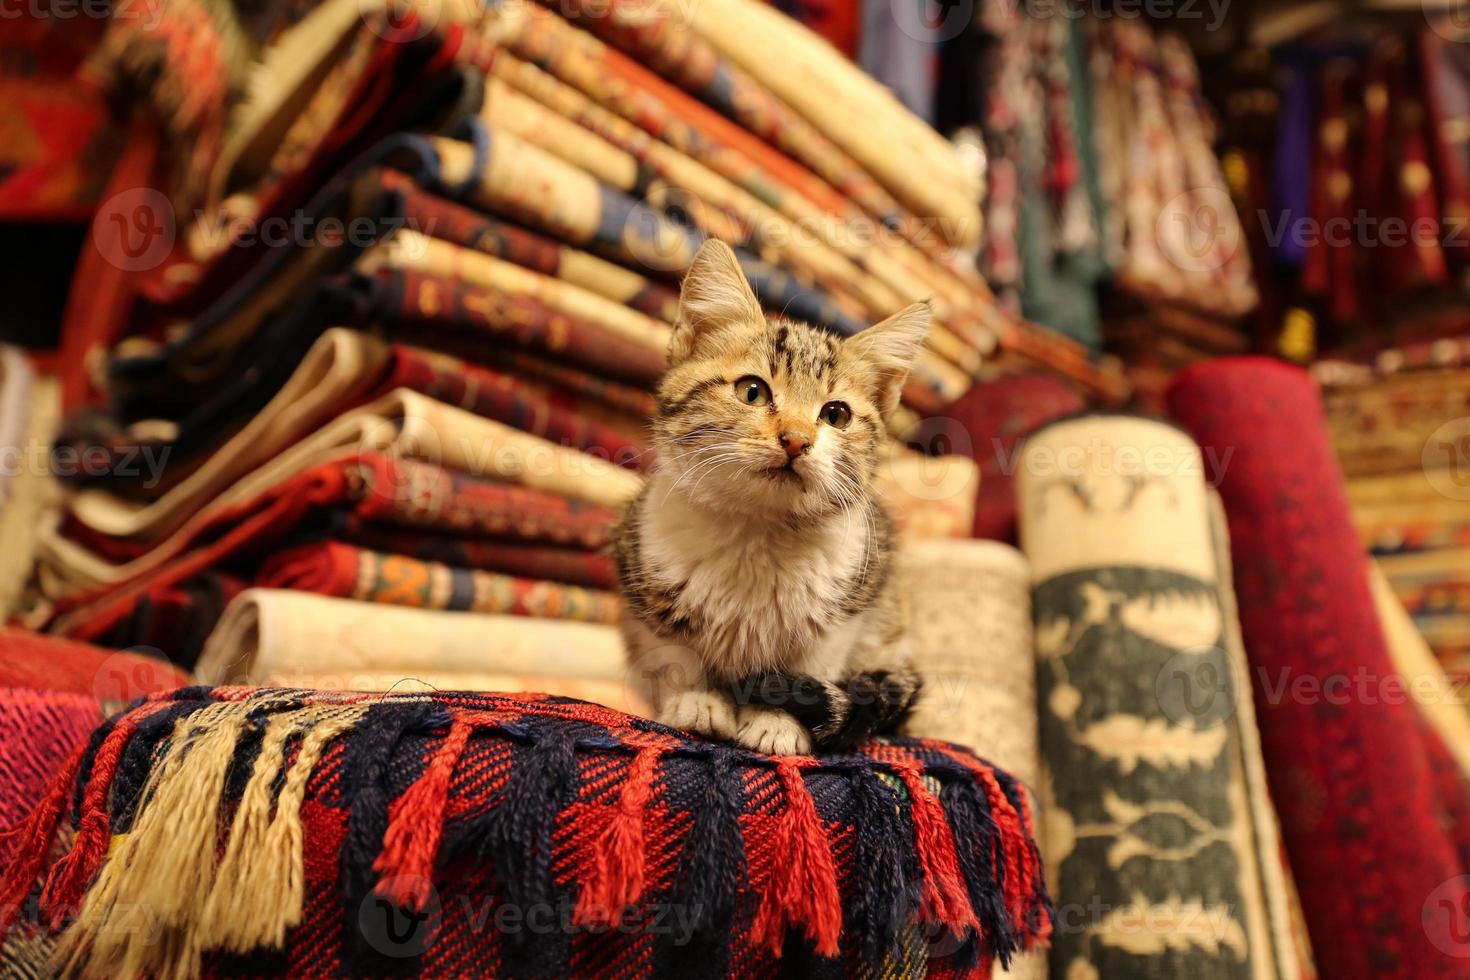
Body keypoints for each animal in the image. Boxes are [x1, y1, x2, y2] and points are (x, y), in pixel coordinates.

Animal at [614, 239, 923, 758]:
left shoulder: (851, 605)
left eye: (835, 415)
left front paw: (777, 723)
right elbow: (674, 654)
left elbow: (808, 667)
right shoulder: (642, 584)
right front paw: (697, 702)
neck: (758, 531)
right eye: (752, 391)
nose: (796, 439)